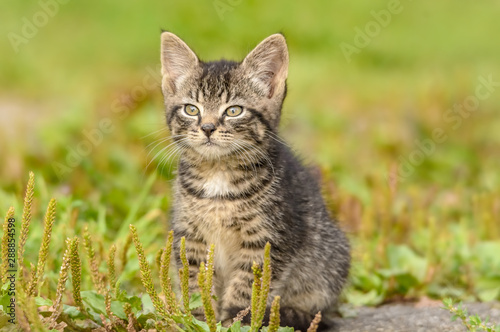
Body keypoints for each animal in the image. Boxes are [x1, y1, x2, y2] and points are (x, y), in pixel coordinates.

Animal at [160, 31, 352, 332]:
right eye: (191, 109)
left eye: (234, 110)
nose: (207, 127)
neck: (218, 174)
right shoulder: (189, 235)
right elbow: (194, 280)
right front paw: (197, 318)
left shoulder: (267, 241)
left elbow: (248, 287)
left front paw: (234, 321)